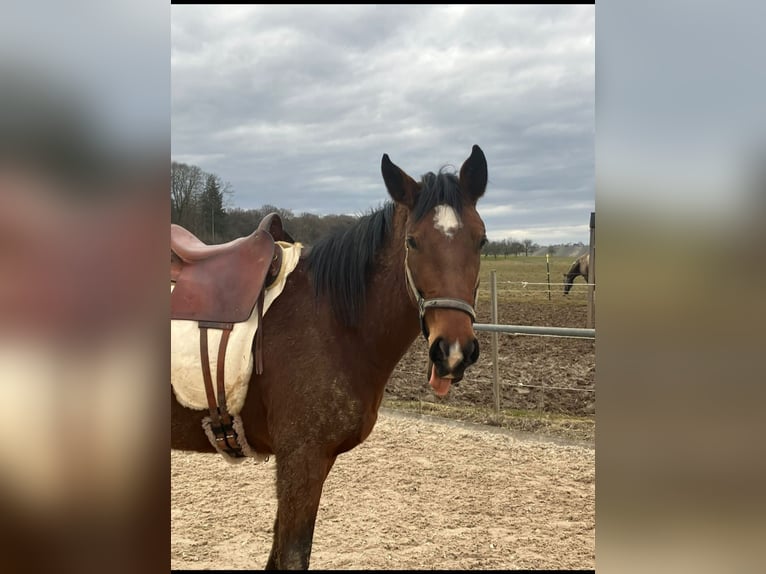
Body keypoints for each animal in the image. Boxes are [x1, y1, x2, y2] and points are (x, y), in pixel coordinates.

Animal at [171, 145, 489, 569]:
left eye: (481, 241)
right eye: (412, 242)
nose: (453, 351)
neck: (331, 319)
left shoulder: (314, 463)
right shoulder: (301, 459)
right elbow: (293, 555)